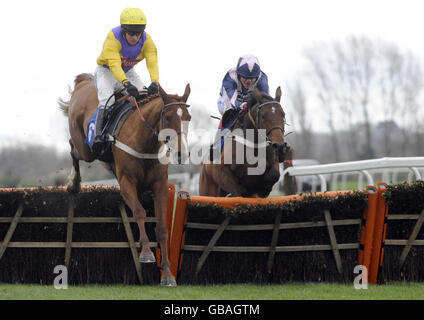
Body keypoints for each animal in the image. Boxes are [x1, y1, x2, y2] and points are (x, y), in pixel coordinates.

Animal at [58, 74, 191, 286]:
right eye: (168, 117)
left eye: (188, 118)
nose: (181, 152)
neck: (145, 142)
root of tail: (84, 81)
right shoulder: (127, 182)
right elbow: (139, 212)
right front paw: (146, 252)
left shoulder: (160, 186)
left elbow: (162, 227)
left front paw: (167, 275)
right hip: (86, 148)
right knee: (73, 148)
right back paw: (74, 183)